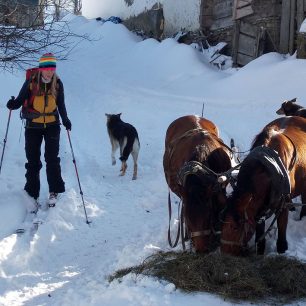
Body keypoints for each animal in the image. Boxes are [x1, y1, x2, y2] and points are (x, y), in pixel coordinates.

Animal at [220, 116, 306, 255]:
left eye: (234, 227)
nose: (224, 252)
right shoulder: (260, 204)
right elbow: (260, 228)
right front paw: (260, 248)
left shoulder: (282, 204)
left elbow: (282, 226)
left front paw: (282, 248)